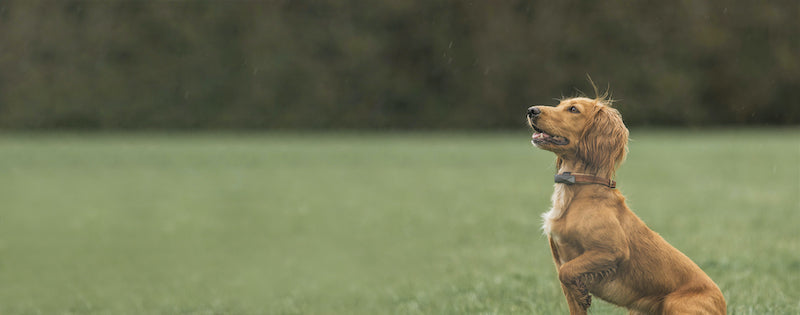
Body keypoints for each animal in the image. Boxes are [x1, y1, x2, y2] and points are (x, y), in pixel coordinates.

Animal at [528, 96, 728, 315]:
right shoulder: (561, 261)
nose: (531, 110)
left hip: (674, 303)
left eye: (573, 109)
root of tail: (723, 305)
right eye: (560, 104)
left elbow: (566, 271)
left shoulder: (612, 250)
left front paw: (583, 294)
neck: (577, 190)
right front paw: (581, 295)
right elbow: (568, 284)